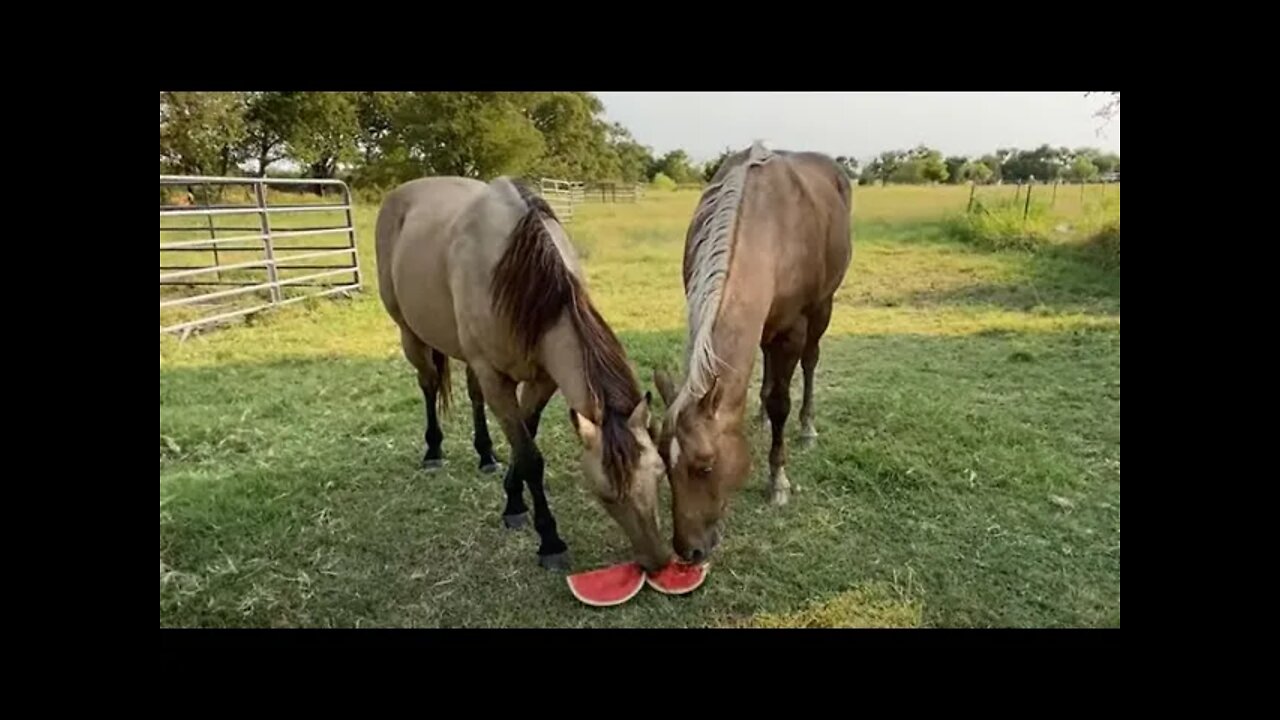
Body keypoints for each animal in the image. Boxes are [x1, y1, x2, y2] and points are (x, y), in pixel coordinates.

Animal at [373, 175, 670, 571]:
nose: (659, 561)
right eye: (605, 495)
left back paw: (486, 456)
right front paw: (549, 540)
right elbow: (530, 456)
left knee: (472, 394)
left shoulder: (541, 379)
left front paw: (513, 500)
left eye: (660, 473)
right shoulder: (496, 378)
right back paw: (433, 451)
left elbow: (524, 438)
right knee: (429, 383)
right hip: (410, 334)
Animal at [655, 142, 855, 563]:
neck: (767, 227)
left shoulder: (794, 327)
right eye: (664, 461)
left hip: (823, 307)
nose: (687, 551)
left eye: (705, 466)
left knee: (809, 363)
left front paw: (778, 480)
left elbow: (782, 400)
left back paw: (807, 425)